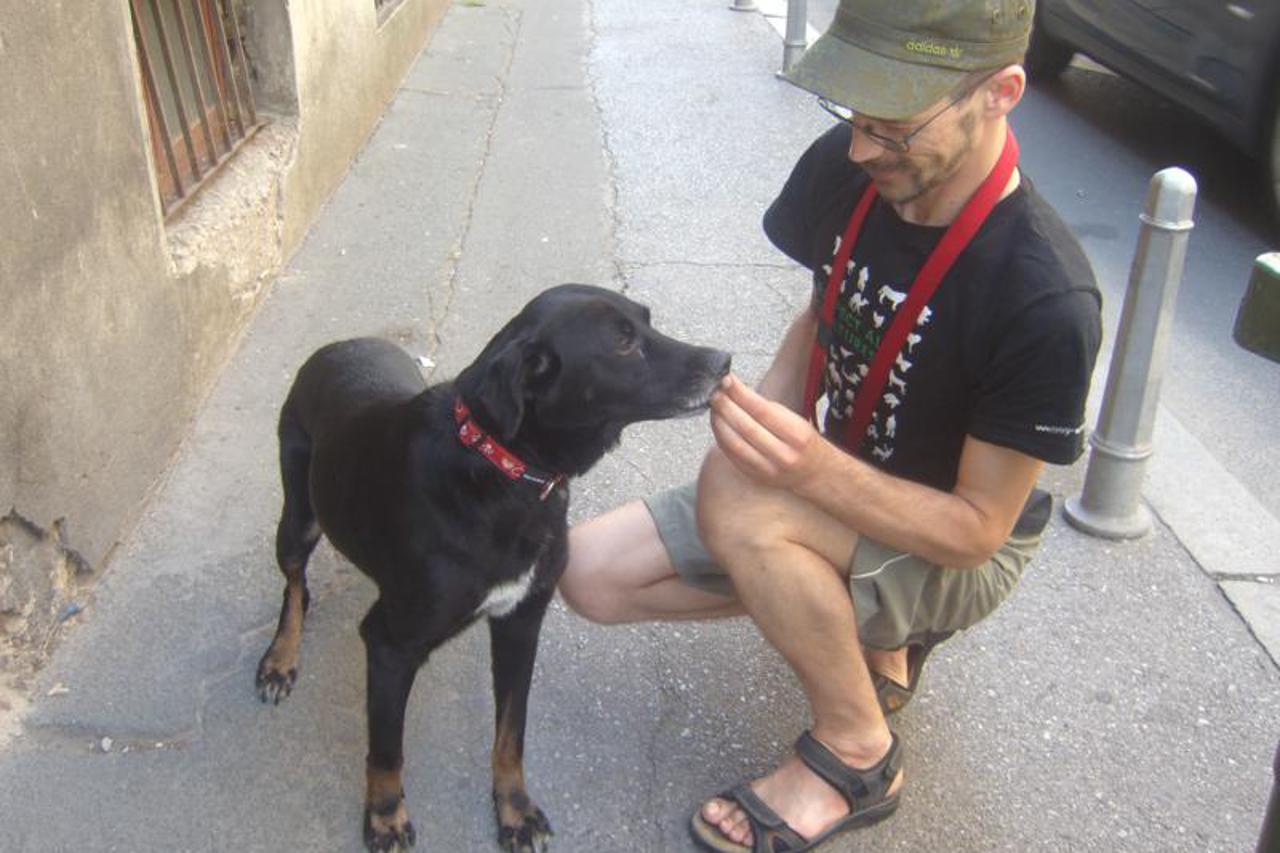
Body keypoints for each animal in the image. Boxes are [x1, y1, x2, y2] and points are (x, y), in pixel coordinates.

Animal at [254, 284, 731, 852]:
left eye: (647, 321)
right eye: (622, 342)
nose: (724, 363)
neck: (504, 470)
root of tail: (340, 345)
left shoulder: (520, 622)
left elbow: (510, 735)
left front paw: (514, 810)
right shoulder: (391, 644)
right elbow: (387, 752)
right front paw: (386, 817)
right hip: (300, 517)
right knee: (295, 586)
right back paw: (280, 659)